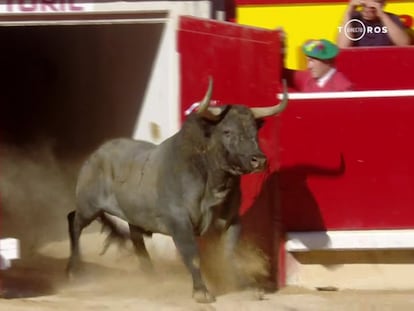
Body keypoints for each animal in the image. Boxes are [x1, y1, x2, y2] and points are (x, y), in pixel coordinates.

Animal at [67, 77, 288, 304]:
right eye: (227, 131)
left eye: (255, 131)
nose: (259, 160)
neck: (213, 181)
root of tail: (96, 153)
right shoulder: (179, 222)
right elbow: (192, 255)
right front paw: (201, 292)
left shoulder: (232, 220)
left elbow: (228, 253)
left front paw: (244, 287)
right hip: (88, 206)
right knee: (75, 221)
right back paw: (74, 271)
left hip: (131, 213)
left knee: (136, 237)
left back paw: (152, 277)